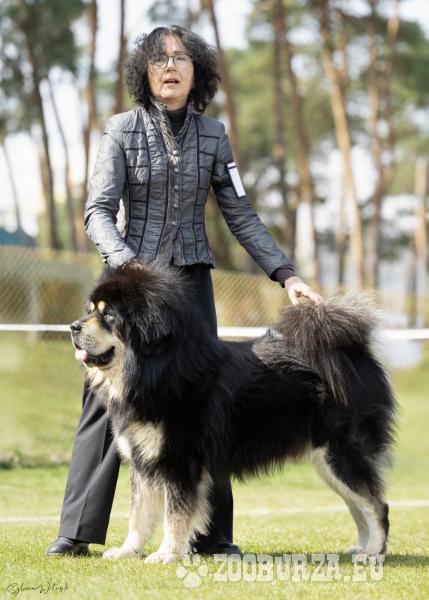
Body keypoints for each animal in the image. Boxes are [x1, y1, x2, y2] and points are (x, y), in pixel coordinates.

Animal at [70, 261, 396, 564]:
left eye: (108, 315)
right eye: (91, 310)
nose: (73, 326)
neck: (159, 370)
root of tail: (355, 354)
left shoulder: (180, 463)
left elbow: (174, 515)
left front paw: (167, 554)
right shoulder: (143, 461)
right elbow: (138, 515)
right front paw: (128, 550)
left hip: (342, 455)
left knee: (377, 505)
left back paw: (374, 553)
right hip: (327, 462)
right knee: (359, 505)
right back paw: (362, 547)